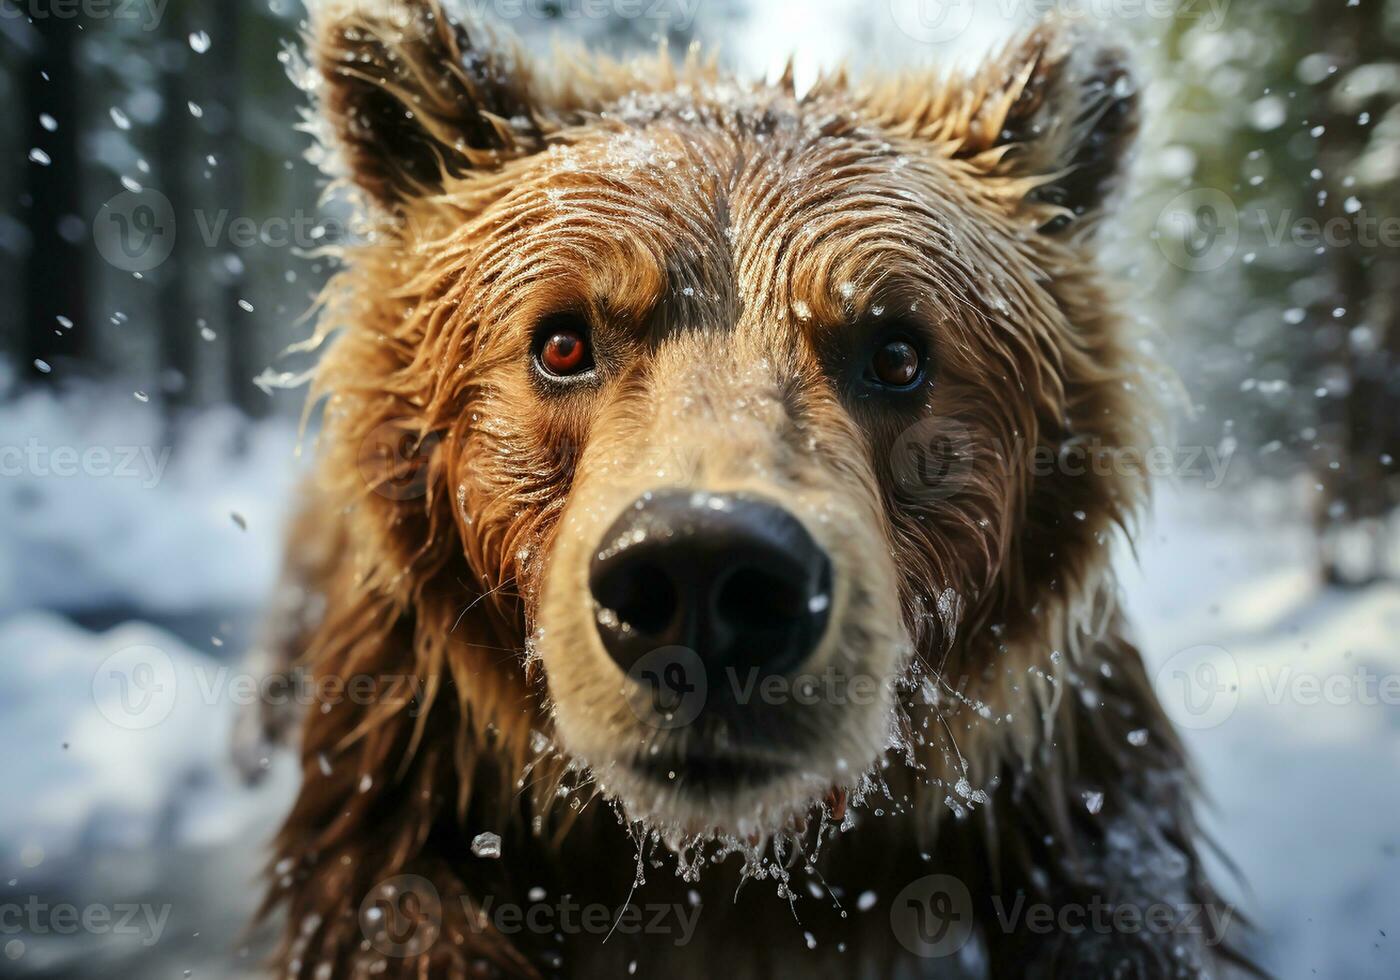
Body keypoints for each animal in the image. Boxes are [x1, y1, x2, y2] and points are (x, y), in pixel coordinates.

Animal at [240, 3, 1248, 974]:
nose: (706, 571)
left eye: (897, 351)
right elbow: (398, 912)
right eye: (562, 340)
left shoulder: (1058, 760)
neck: (726, 864)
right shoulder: (409, 754)